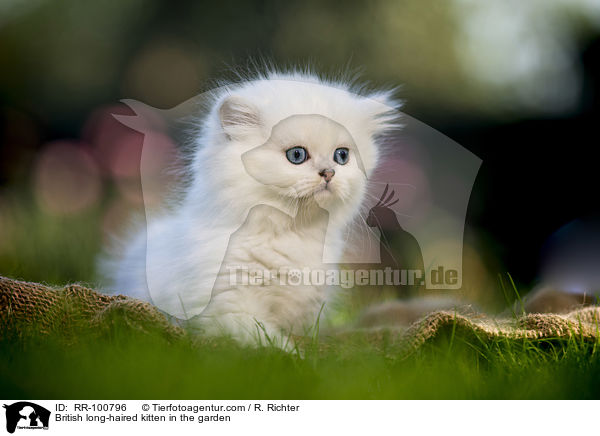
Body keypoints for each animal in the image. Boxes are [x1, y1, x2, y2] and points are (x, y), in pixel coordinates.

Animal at [110, 70, 400, 344]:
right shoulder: (227, 308)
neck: (292, 234)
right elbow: (268, 341)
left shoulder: (304, 313)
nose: (329, 173)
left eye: (342, 156)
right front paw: (293, 356)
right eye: (297, 155)